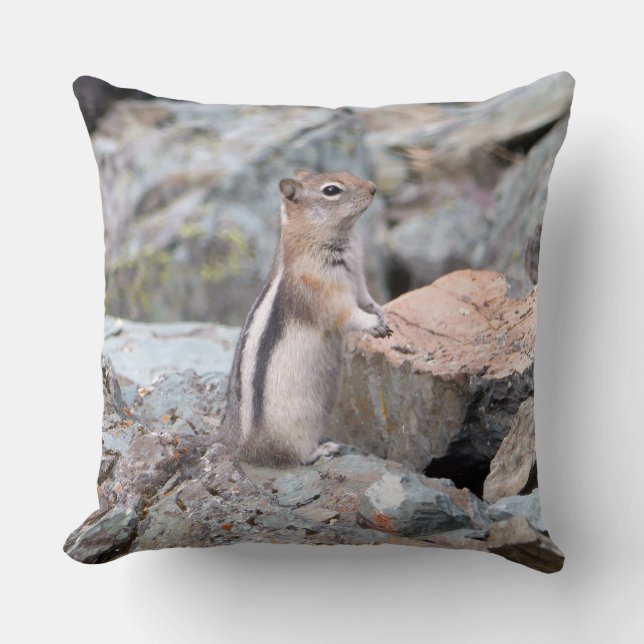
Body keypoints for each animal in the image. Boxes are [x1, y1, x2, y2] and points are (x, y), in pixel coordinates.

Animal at [219, 170, 392, 468]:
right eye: (331, 190)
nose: (373, 188)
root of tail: (244, 451)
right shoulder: (325, 295)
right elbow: (348, 315)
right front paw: (373, 324)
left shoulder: (358, 280)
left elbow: (367, 300)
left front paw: (382, 314)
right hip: (301, 421)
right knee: (295, 455)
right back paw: (324, 449)